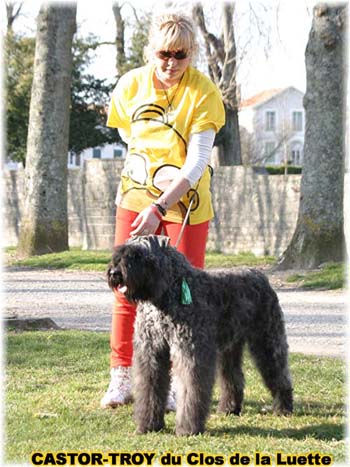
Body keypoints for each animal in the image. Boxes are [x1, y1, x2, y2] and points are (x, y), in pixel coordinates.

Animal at [107, 236, 292, 436]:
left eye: (138, 255)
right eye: (118, 254)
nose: (115, 273)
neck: (166, 294)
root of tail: (261, 277)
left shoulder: (190, 354)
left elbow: (190, 390)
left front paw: (188, 429)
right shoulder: (150, 354)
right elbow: (149, 389)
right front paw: (148, 426)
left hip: (267, 341)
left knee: (279, 373)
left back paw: (284, 408)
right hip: (229, 348)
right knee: (232, 377)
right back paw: (229, 408)